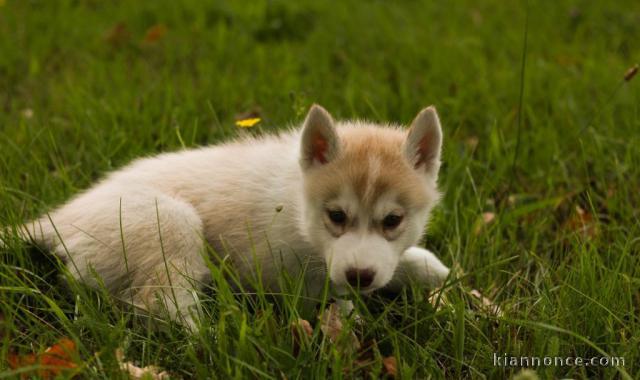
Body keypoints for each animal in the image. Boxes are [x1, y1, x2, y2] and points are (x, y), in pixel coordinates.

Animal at [5, 105, 448, 328]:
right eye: (337, 215)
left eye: (392, 221)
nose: (360, 276)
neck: (297, 204)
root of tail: (56, 219)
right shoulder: (278, 270)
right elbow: (332, 300)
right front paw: (352, 317)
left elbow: (412, 264)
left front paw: (440, 280)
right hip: (169, 220)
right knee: (160, 304)